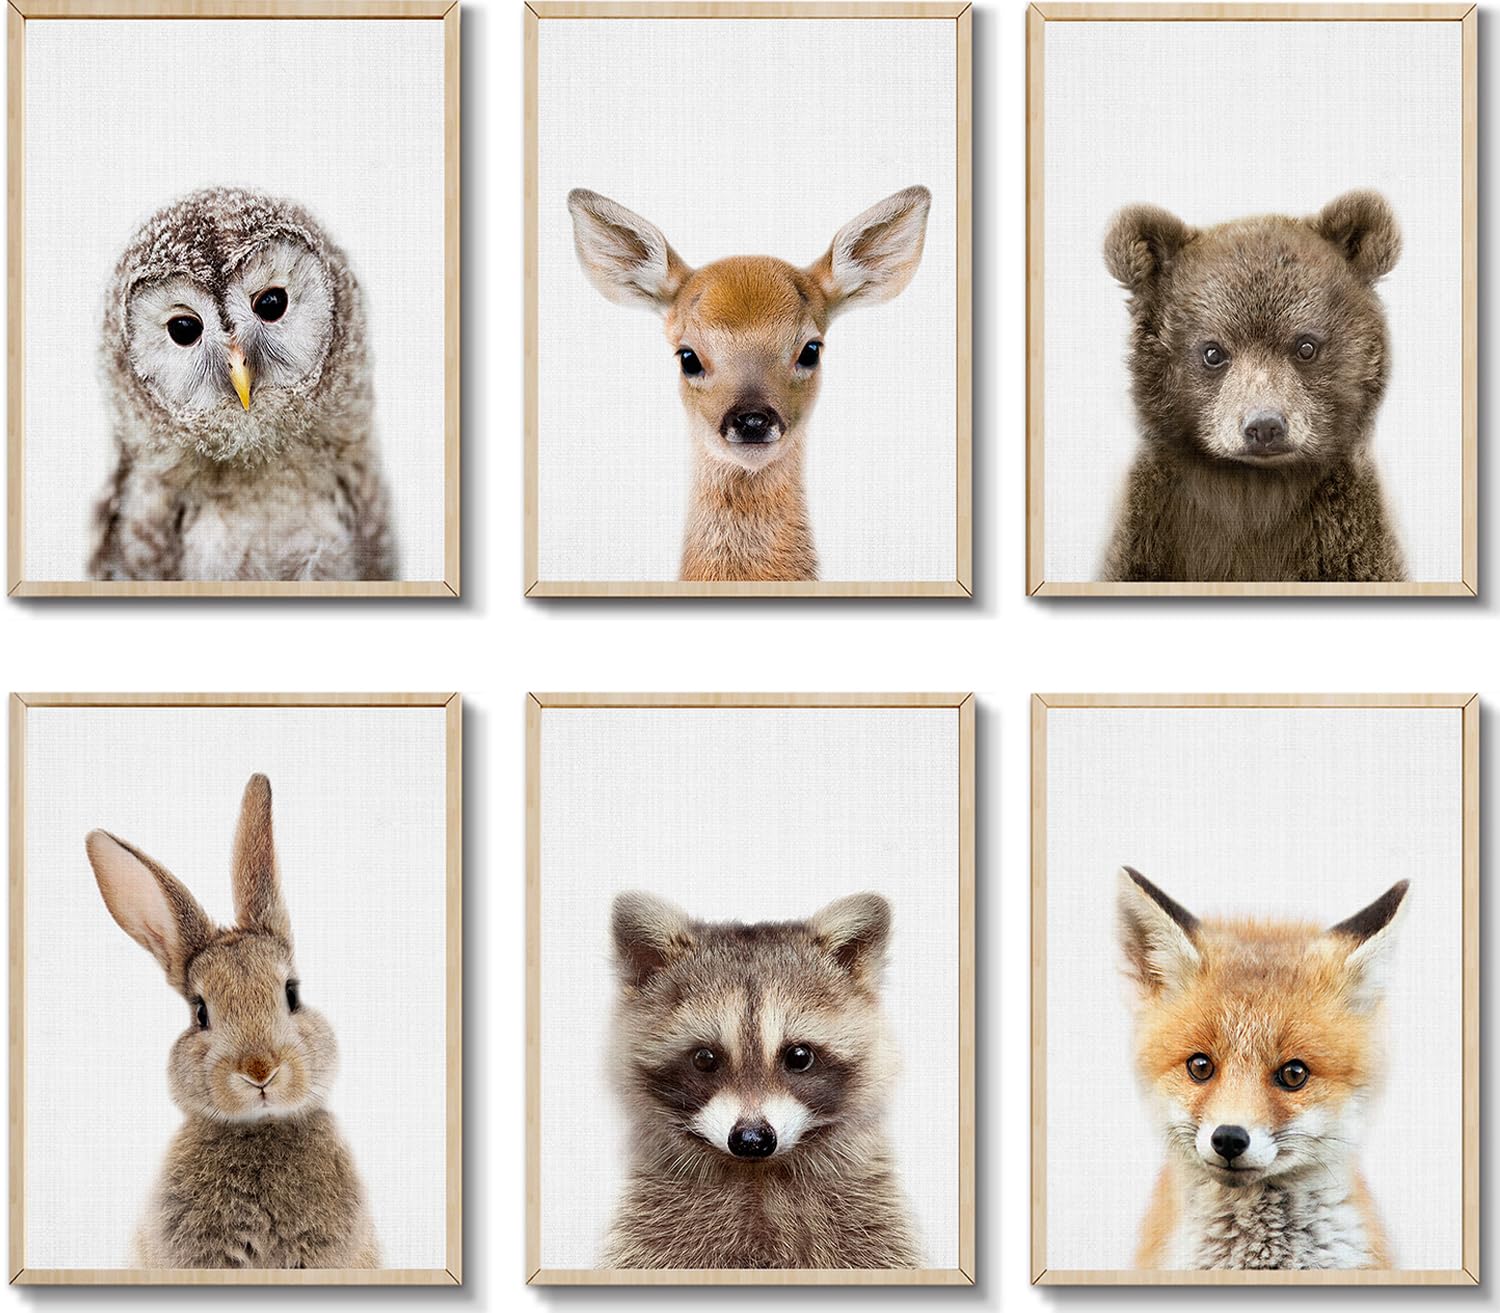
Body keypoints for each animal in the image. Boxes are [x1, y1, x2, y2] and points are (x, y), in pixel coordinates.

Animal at [601, 891, 922, 1269]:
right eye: (705, 1058)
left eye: (799, 1056)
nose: (751, 1140)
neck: (758, 1176)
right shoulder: (653, 1231)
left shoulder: (869, 1219)